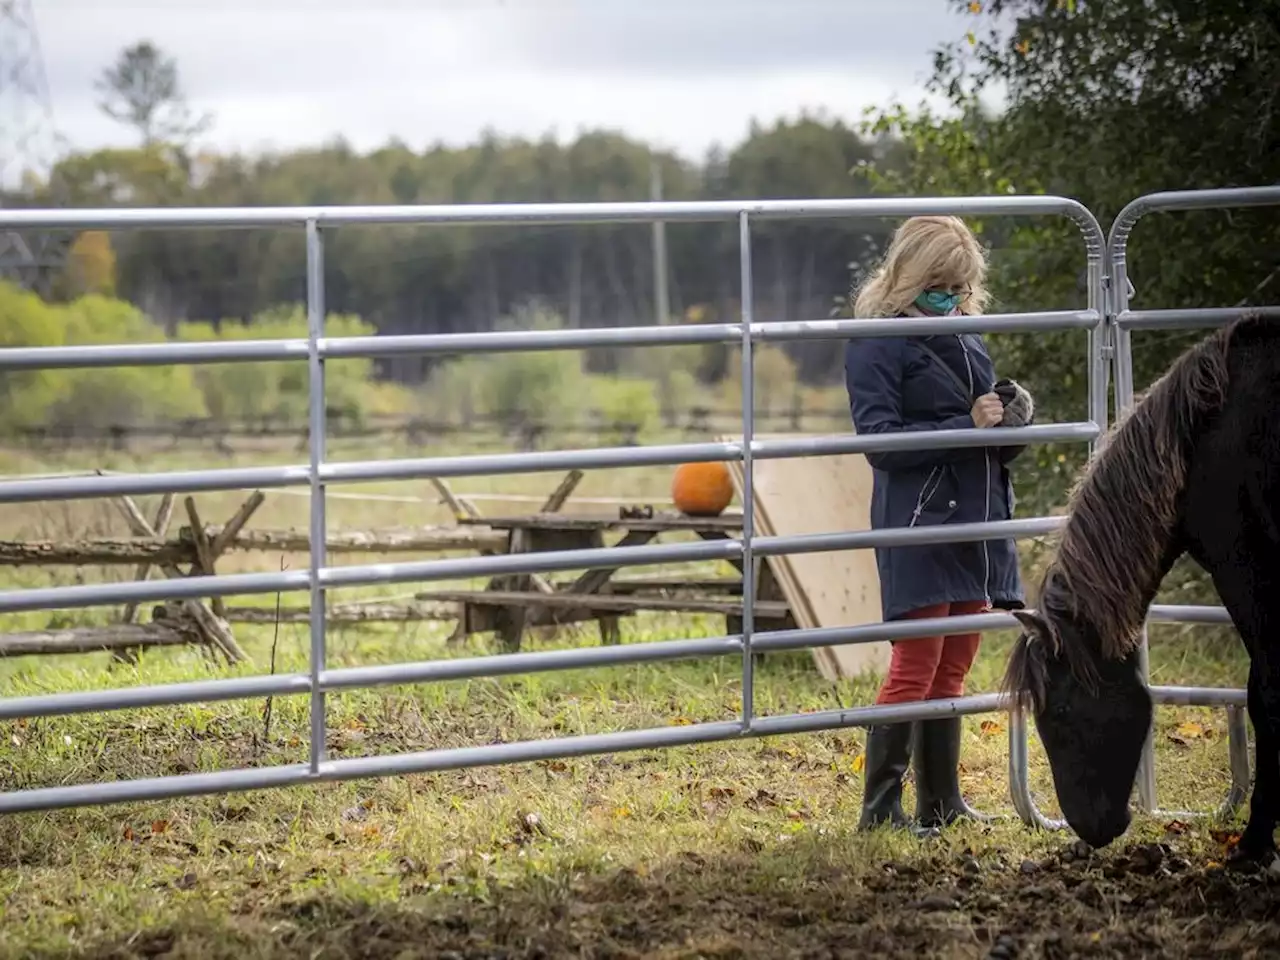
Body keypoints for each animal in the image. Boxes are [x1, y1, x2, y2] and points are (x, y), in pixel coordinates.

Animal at [1003, 313, 1280, 870]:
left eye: (1060, 712)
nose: (1089, 829)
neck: (1199, 438)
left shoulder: (1247, 570)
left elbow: (1264, 699)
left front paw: (1254, 845)